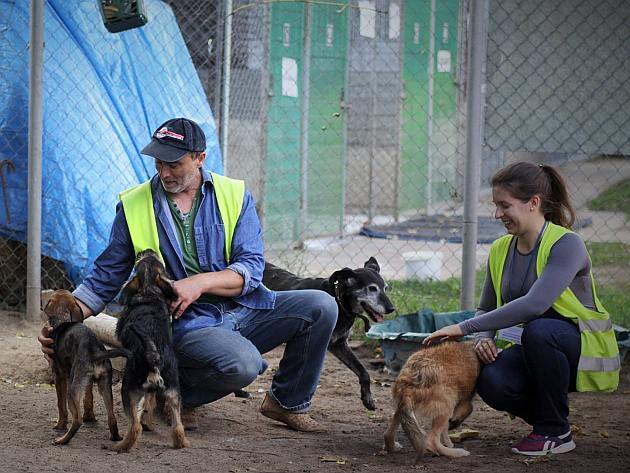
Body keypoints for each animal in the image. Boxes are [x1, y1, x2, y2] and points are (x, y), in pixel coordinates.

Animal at [44, 288, 126, 446]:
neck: (63, 319)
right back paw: (116, 438)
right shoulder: (88, 382)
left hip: (73, 389)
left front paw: (59, 425)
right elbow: (88, 398)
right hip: (105, 385)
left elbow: (61, 406)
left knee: (77, 420)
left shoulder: (59, 376)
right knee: (112, 418)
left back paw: (62, 440)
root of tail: (96, 351)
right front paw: (90, 416)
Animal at [112, 249, 190, 452]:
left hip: (128, 388)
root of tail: (153, 353)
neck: (148, 291)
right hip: (173, 390)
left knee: (134, 426)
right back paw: (181, 443)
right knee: (177, 426)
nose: (146, 250)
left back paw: (120, 446)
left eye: (138, 261)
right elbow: (150, 401)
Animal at [262, 256, 396, 408]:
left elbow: (363, 371)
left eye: (385, 288)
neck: (339, 301)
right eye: (372, 288)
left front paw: (367, 398)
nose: (391, 309)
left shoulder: (339, 344)